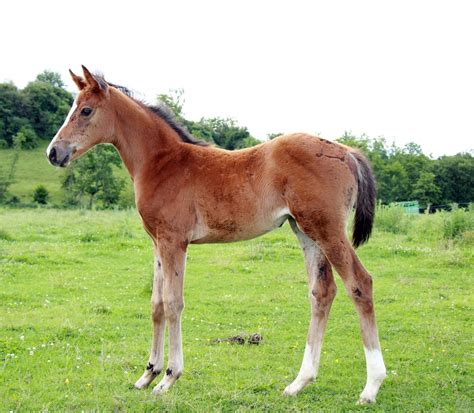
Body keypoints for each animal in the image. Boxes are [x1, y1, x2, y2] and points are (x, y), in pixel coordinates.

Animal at [46, 66, 386, 404]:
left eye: (86, 110)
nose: (53, 152)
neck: (162, 163)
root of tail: (346, 152)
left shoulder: (174, 241)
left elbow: (173, 303)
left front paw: (168, 378)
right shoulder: (157, 242)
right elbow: (156, 304)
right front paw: (147, 374)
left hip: (328, 229)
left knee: (360, 283)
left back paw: (371, 386)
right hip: (305, 230)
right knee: (322, 292)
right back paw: (299, 382)